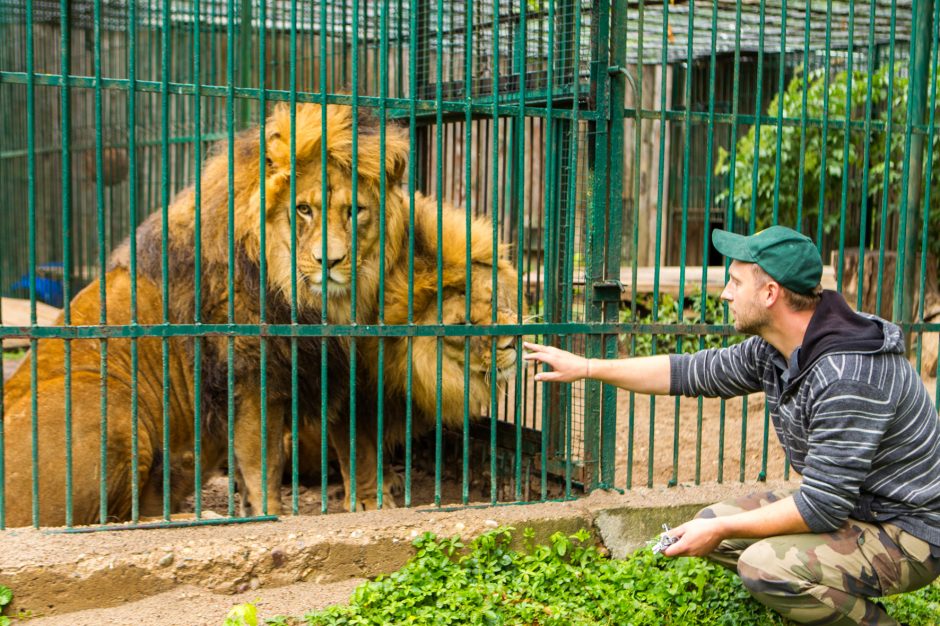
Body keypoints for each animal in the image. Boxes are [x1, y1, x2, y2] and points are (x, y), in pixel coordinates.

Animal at [1, 105, 410, 524]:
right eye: (303, 209)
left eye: (354, 211)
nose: (330, 262)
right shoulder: (251, 376)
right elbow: (263, 462)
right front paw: (268, 514)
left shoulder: (338, 363)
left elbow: (357, 444)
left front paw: (370, 501)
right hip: (106, 401)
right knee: (113, 518)